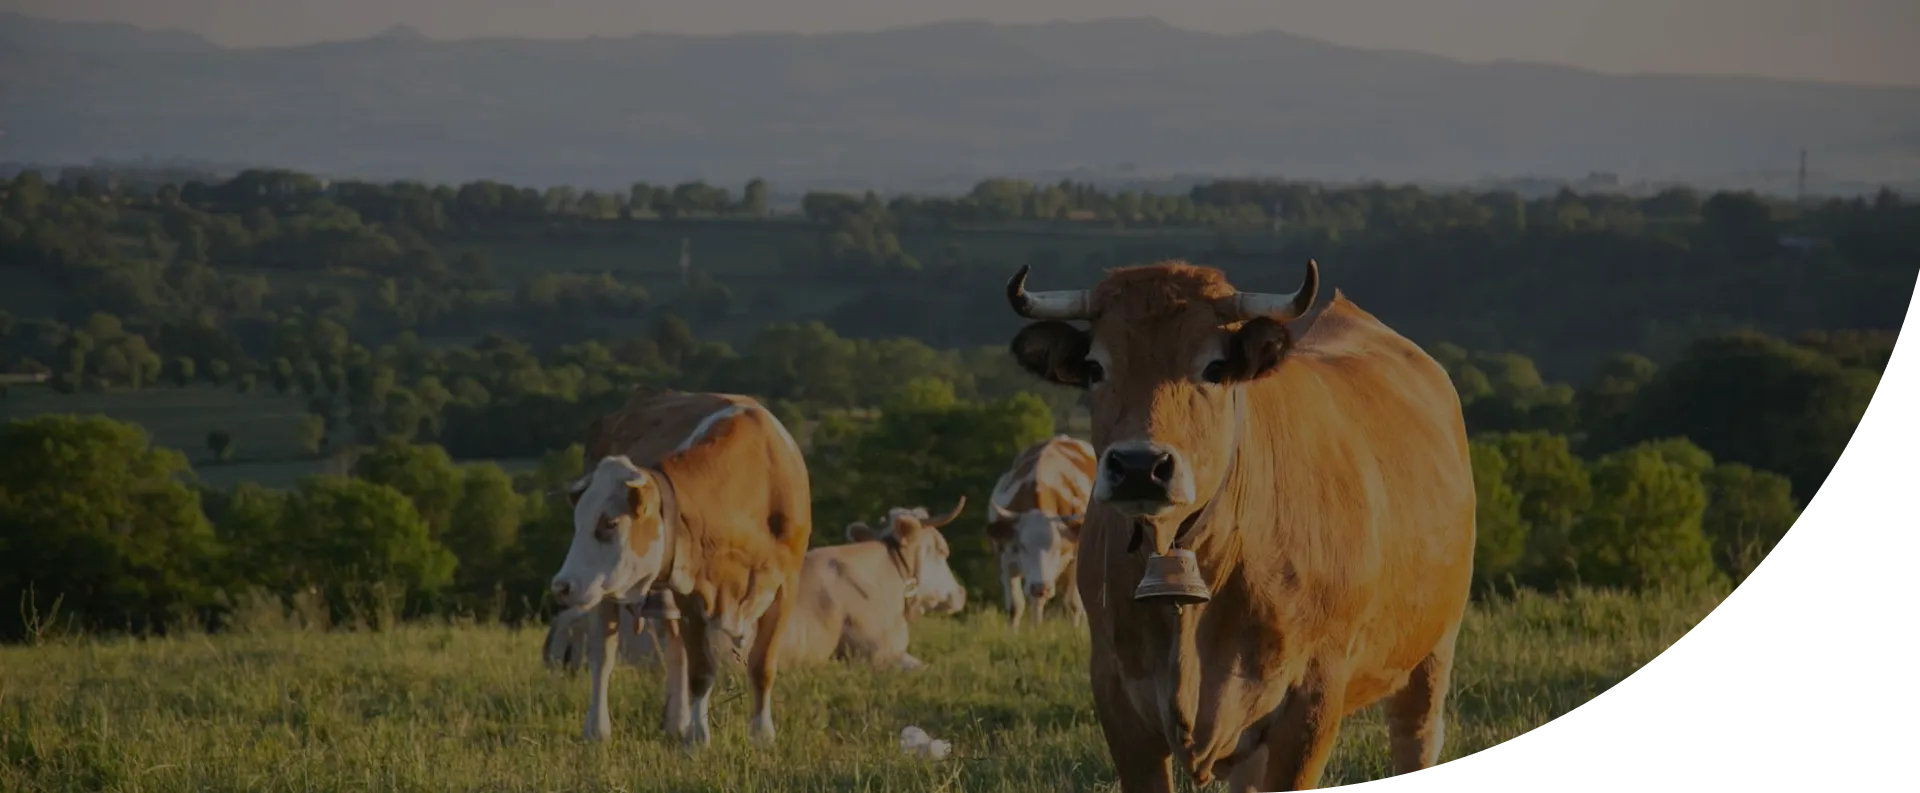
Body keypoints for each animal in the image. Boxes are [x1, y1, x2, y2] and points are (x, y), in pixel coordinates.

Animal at [548, 387, 814, 748]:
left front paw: (761, 734)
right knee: (603, 655)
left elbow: (762, 665)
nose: (561, 585)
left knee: (674, 652)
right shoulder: (691, 591)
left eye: (610, 523)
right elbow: (701, 670)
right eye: (578, 523)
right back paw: (598, 730)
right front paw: (698, 738)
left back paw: (676, 722)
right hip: (606, 593)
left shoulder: (785, 585)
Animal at [984, 434, 1096, 629]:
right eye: (1022, 546)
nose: (1040, 587)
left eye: (1057, 547)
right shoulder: (1005, 559)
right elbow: (1015, 606)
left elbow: (1074, 604)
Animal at [1000, 259, 1477, 791]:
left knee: (1415, 735)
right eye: (1095, 368)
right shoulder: (1116, 693)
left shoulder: (1313, 696)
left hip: (1432, 651)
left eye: (1213, 368)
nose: (1140, 466)